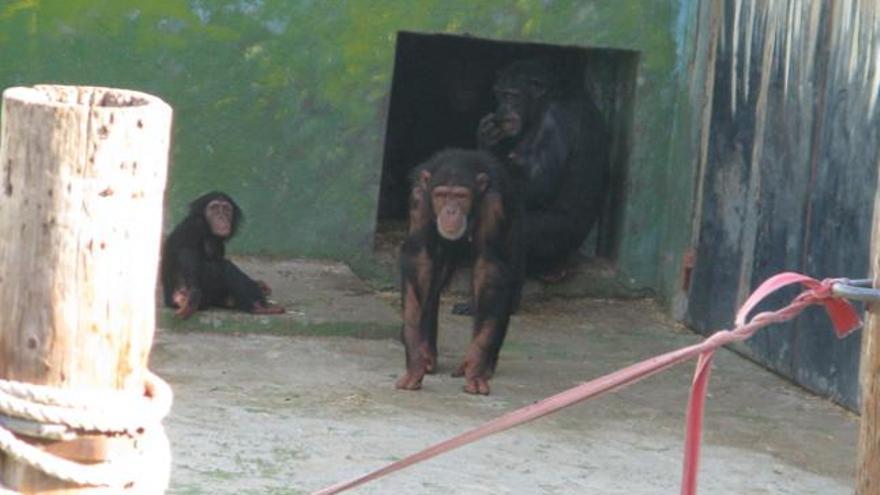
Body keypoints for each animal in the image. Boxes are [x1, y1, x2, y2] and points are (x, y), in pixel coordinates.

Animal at [158, 192, 282, 320]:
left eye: (226, 209)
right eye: (214, 208)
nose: (221, 217)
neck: (208, 230)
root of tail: (168, 301)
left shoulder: (220, 244)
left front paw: (260, 284)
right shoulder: (194, 226)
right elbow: (186, 253)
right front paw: (192, 294)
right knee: (225, 267)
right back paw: (257, 307)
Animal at [394, 149, 524, 398]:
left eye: (461, 196)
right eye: (442, 195)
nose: (451, 210)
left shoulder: (495, 206)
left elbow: (489, 267)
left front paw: (475, 367)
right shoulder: (419, 201)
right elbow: (420, 261)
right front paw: (415, 361)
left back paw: (487, 366)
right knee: (434, 282)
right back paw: (428, 355)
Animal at [478, 58, 608, 282]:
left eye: (512, 95)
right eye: (499, 93)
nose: (503, 108)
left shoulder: (554, 121)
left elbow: (537, 184)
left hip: (557, 239)